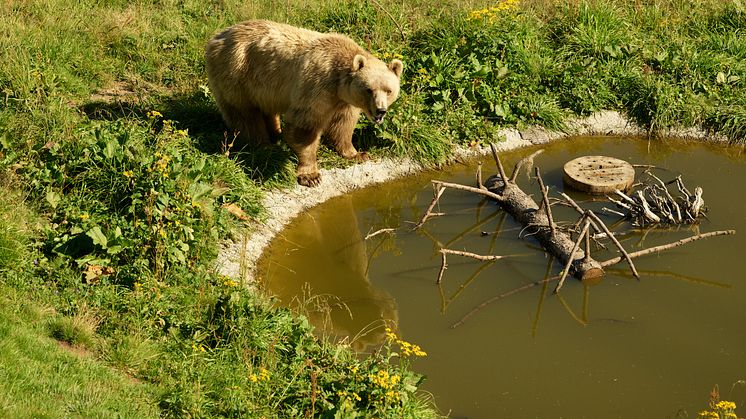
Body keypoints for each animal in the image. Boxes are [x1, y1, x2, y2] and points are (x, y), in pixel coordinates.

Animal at [203, 19, 402, 187]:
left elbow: (343, 124)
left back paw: (275, 133)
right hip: (236, 73)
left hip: (263, 87)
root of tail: (217, 36)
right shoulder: (316, 86)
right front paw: (311, 175)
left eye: (389, 90)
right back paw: (265, 146)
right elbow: (305, 128)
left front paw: (358, 153)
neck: (338, 83)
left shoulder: (344, 101)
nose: (380, 111)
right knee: (244, 114)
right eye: (369, 90)